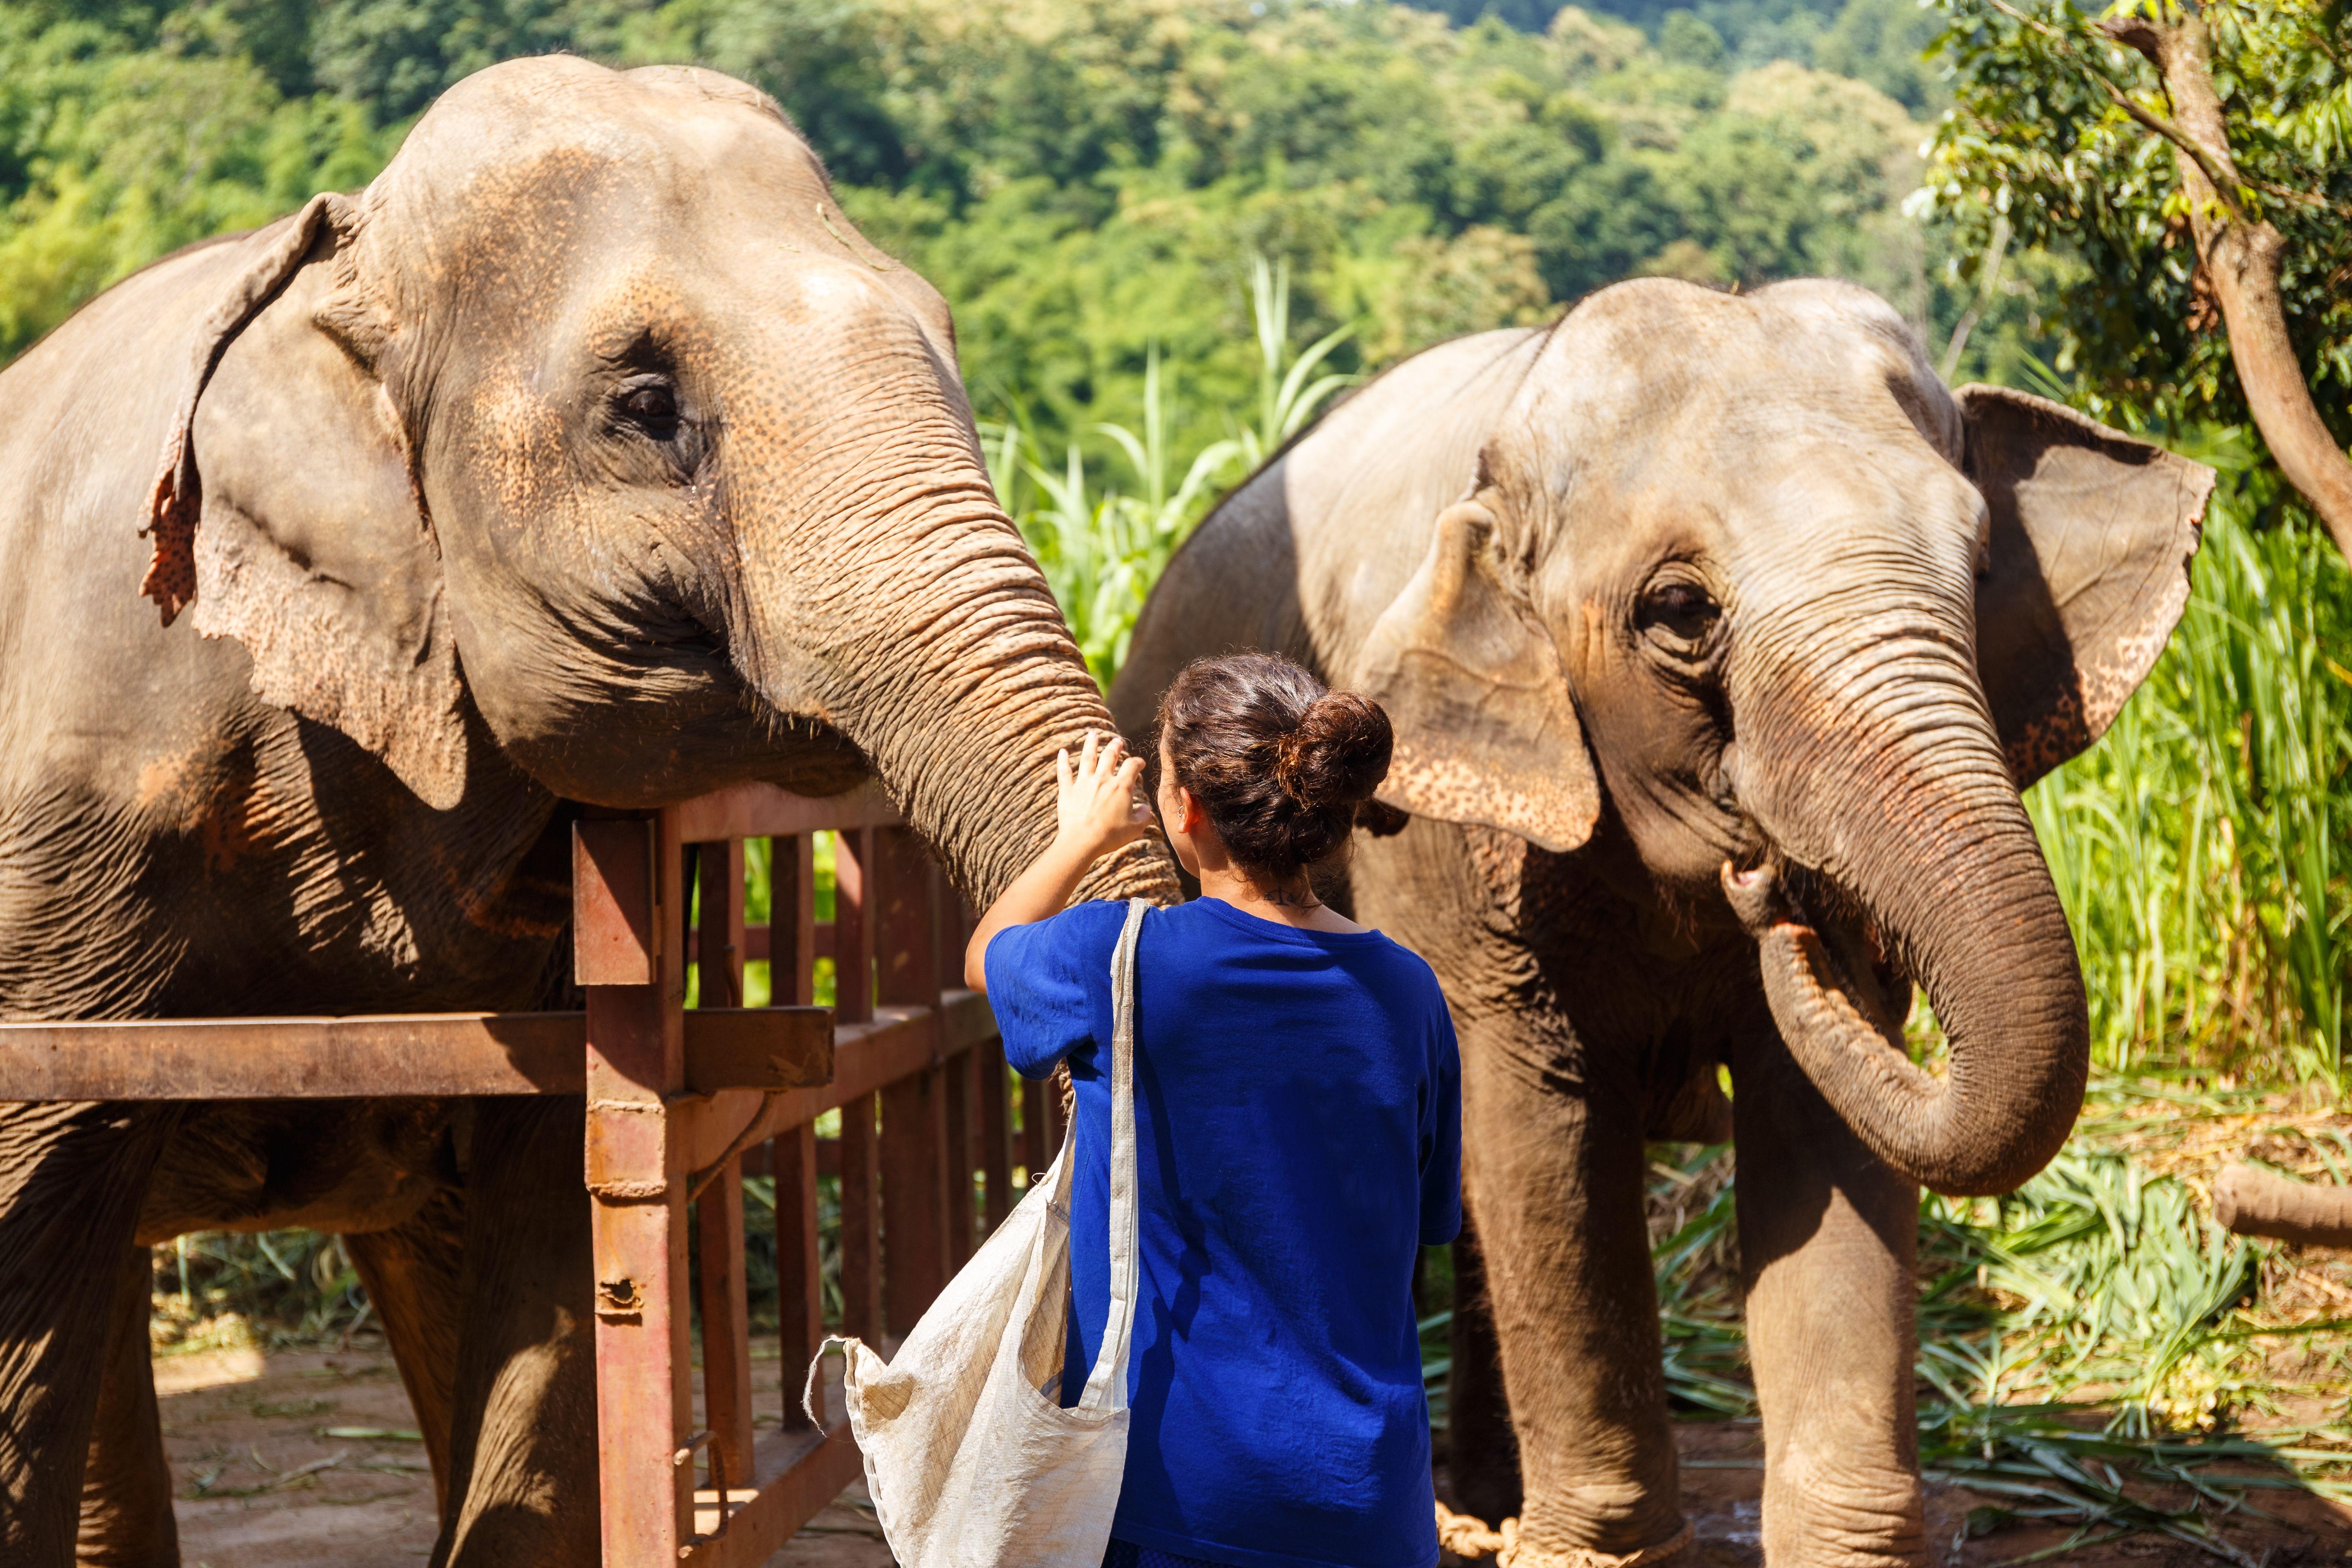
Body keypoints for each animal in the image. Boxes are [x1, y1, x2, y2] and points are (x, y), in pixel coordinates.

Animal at [1110, 282, 2211, 1568]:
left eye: (1983, 563)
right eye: (1679, 612)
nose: (1777, 895)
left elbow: (1822, 1132)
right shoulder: (1446, 849)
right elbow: (1539, 1137)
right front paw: (1594, 1550)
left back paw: (1486, 1503)